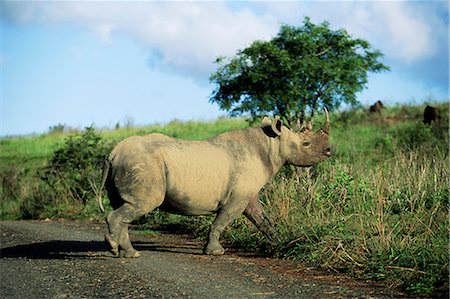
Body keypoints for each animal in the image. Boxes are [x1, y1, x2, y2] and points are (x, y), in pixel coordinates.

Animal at [98, 111, 330, 258]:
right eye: (306, 144)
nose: (328, 151)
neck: (272, 143)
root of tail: (113, 153)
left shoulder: (248, 194)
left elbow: (263, 220)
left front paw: (282, 244)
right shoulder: (237, 198)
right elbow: (222, 221)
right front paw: (215, 251)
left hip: (132, 164)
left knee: (126, 206)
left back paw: (129, 253)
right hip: (144, 166)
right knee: (140, 205)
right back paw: (114, 248)